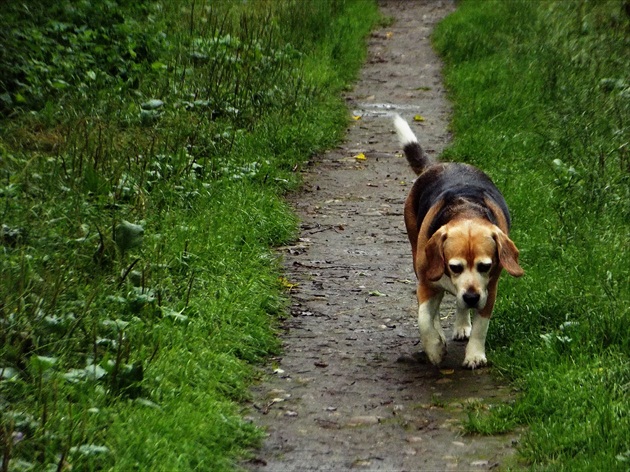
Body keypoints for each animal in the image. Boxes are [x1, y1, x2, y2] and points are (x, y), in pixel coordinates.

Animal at [396, 115, 524, 368]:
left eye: (485, 266)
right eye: (454, 267)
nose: (472, 297)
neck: (466, 213)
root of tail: (438, 165)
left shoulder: (489, 289)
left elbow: (481, 326)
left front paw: (474, 354)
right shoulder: (426, 283)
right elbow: (424, 319)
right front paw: (435, 348)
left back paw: (463, 324)